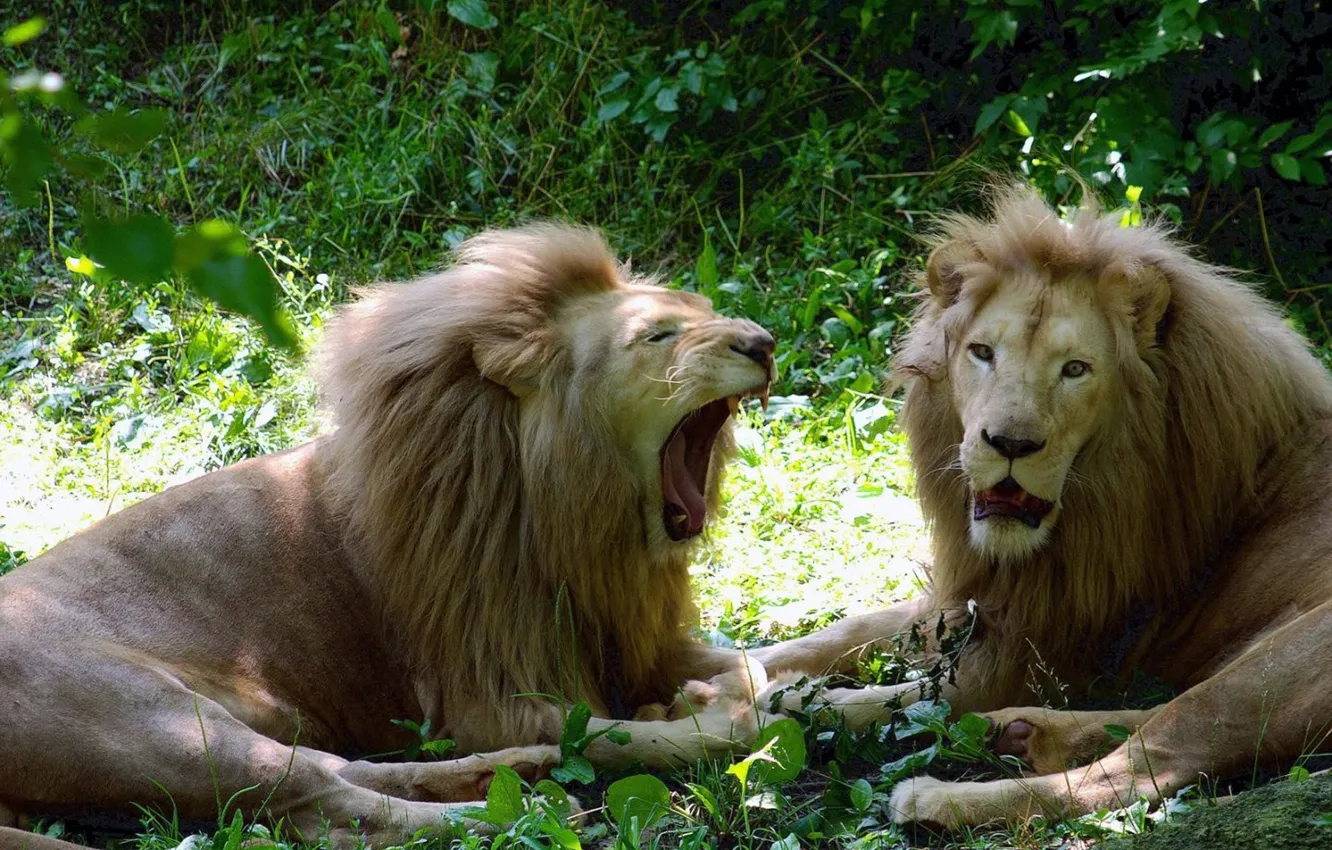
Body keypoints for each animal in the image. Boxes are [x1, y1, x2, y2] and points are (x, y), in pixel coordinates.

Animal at [0, 224, 777, 849]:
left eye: (703, 315)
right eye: (656, 336)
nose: (763, 342)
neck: (573, 511)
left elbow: (753, 664)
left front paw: (732, 684)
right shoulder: (488, 696)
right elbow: (648, 731)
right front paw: (712, 707)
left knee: (338, 776)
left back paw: (511, 776)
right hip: (164, 728)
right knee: (330, 805)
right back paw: (525, 811)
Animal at [751, 184, 1332, 828]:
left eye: (1075, 369)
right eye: (981, 353)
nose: (1010, 444)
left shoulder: (1042, 646)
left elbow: (901, 699)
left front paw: (786, 698)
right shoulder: (984, 598)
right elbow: (851, 627)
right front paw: (746, 658)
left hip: (1283, 660)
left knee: (1140, 770)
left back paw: (935, 797)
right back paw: (1020, 732)